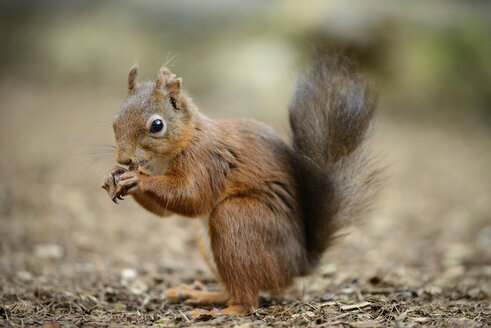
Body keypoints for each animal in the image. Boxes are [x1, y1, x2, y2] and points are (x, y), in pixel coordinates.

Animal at [102, 55, 382, 316]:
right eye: (115, 120)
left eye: (157, 125)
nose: (123, 160)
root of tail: (298, 264)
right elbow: (165, 211)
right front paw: (113, 177)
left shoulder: (207, 161)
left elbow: (192, 197)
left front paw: (137, 179)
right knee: (232, 289)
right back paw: (200, 295)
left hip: (237, 220)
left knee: (247, 300)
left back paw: (220, 312)